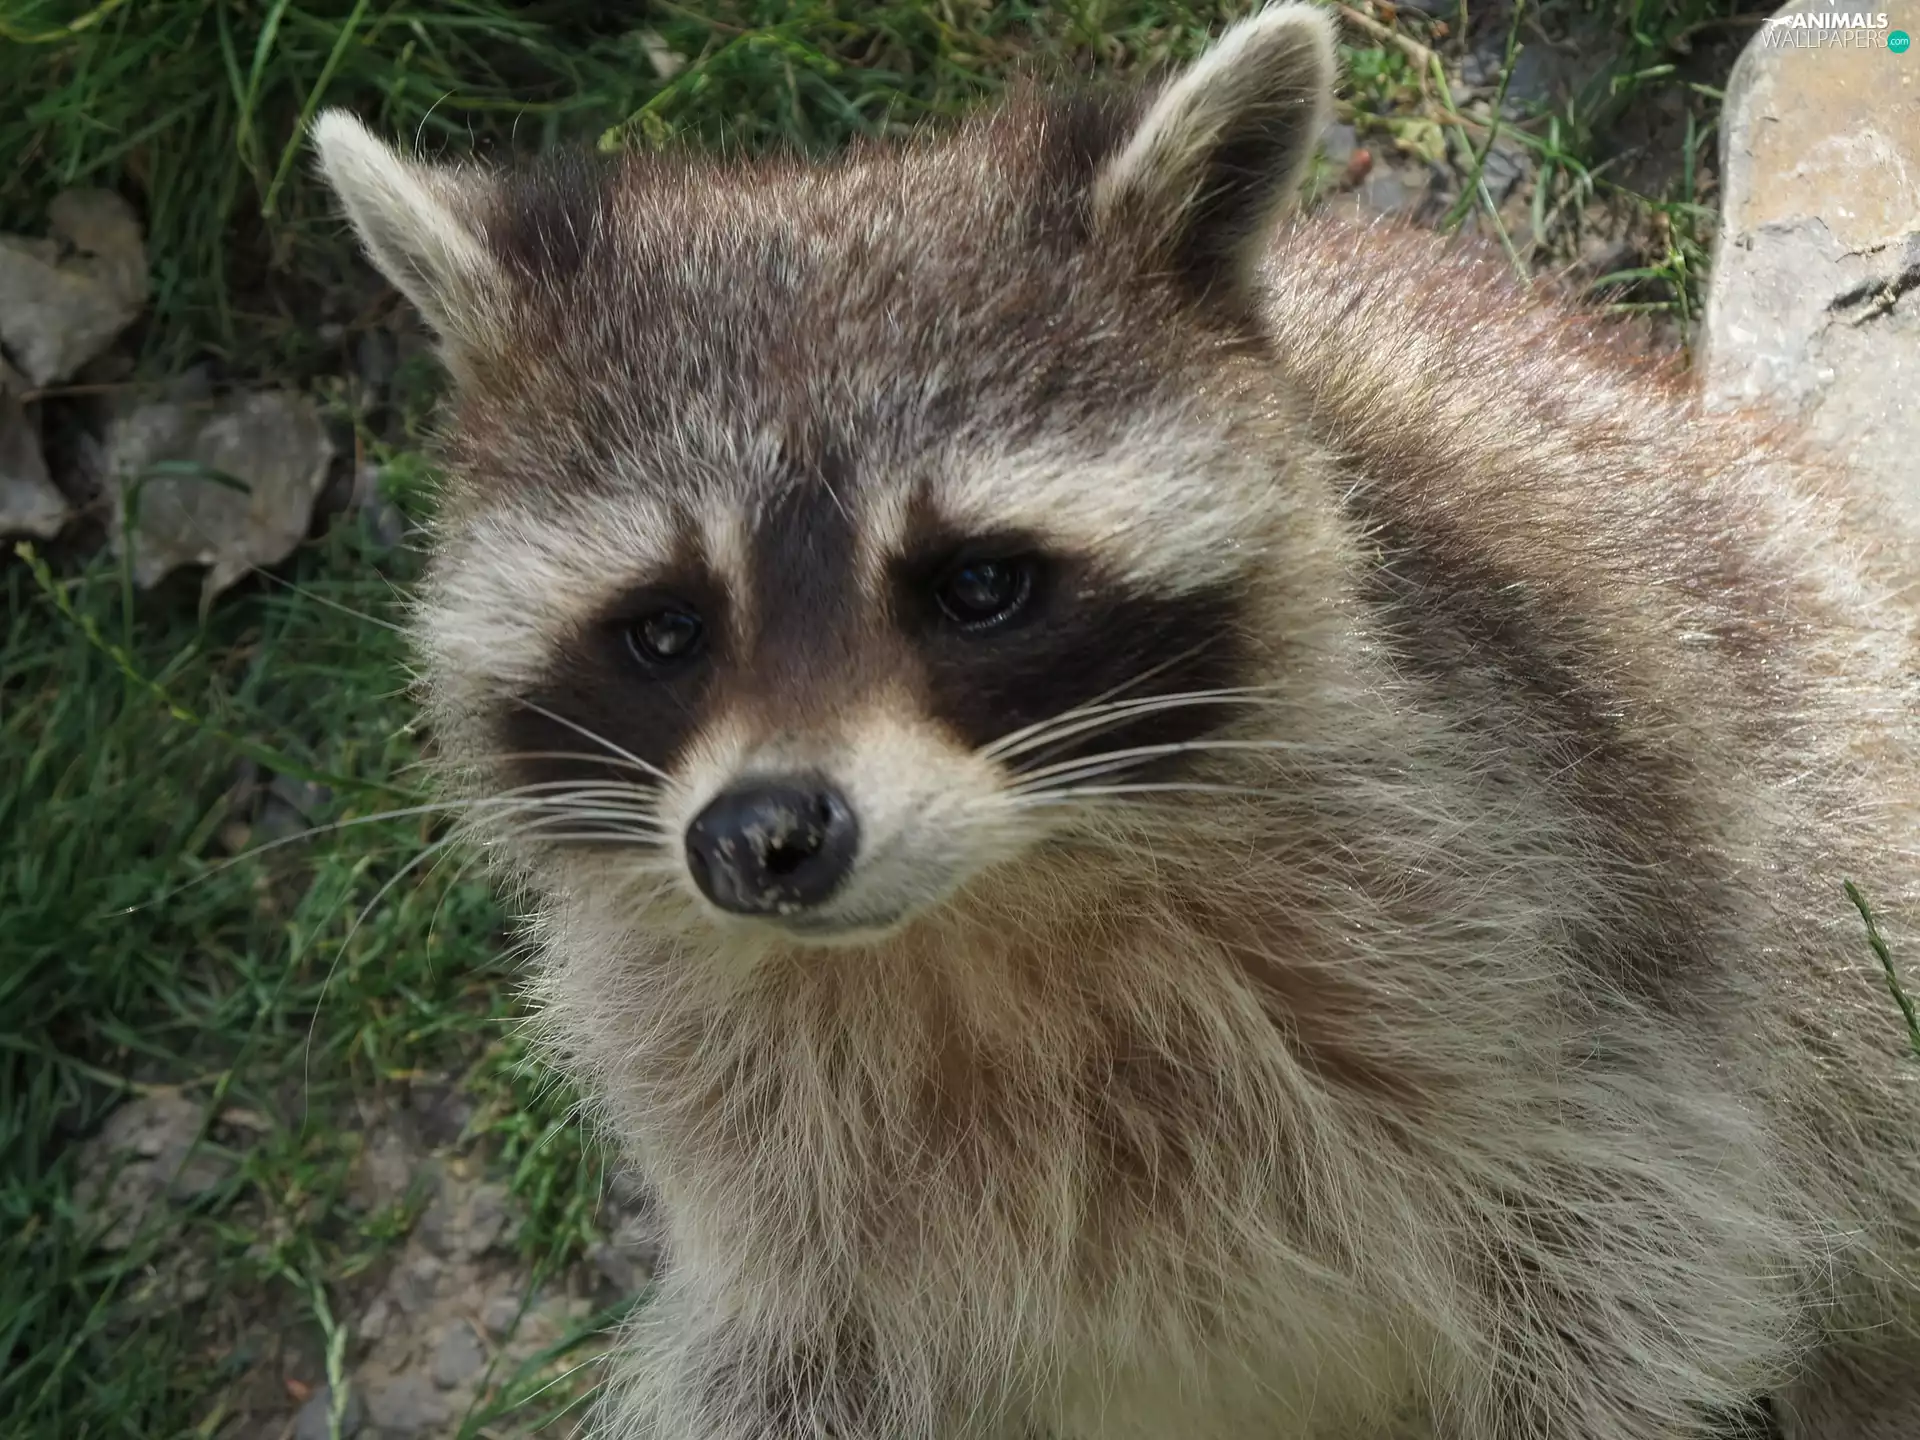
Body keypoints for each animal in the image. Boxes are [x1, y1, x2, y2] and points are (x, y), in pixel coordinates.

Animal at [313, 6, 1920, 1437]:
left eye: (976, 585)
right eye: (664, 628)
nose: (761, 835)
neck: (974, 921)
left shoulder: (1570, 955)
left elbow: (1627, 1278)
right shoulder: (787, 1220)